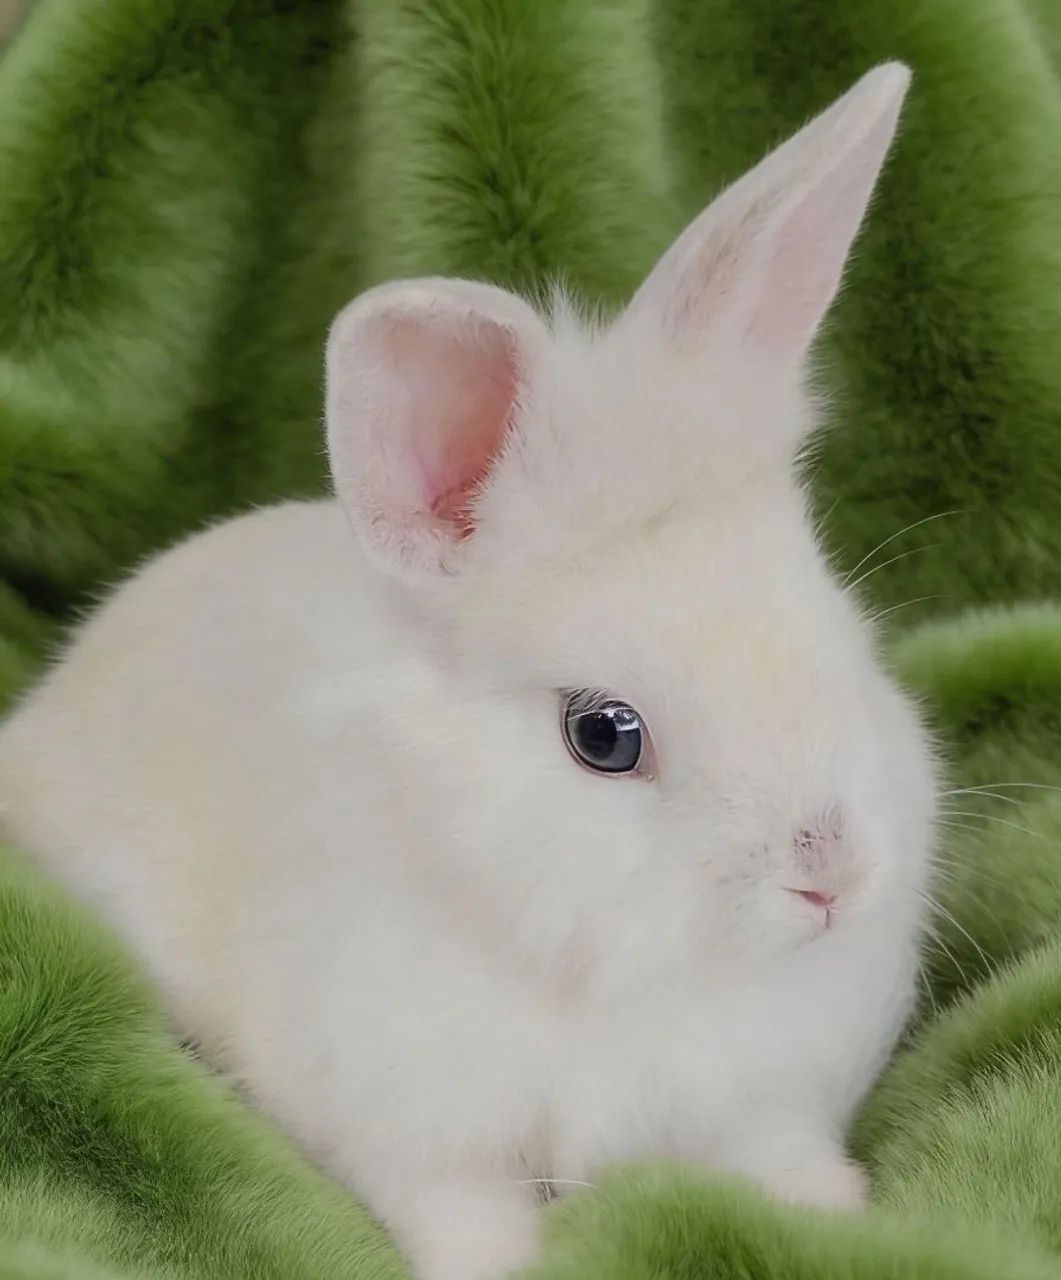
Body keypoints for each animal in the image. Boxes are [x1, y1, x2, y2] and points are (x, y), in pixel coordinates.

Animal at [0, 63, 936, 1280]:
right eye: (603, 735)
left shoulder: (760, 1096)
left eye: (833, 623)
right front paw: (505, 1264)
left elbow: (777, 1155)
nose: (829, 876)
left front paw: (840, 1216)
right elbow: (463, 1211)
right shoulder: (418, 1131)